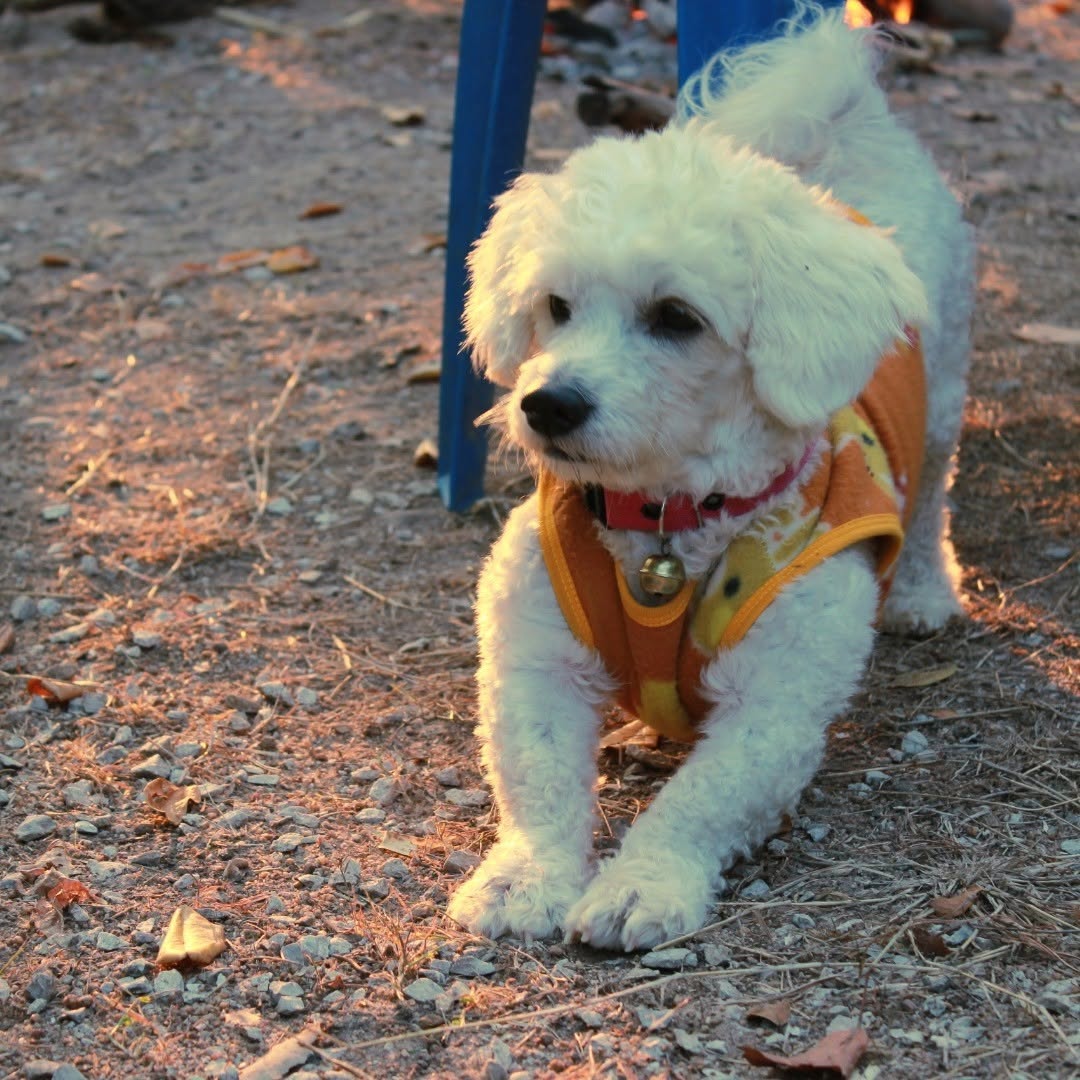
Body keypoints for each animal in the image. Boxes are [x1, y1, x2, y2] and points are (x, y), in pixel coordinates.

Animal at [447, 7, 973, 951]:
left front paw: (640, 884)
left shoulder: (775, 710)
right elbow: (537, 778)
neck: (667, 522)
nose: (547, 404)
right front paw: (524, 877)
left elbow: (698, 802)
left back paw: (922, 592)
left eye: (676, 318)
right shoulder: (531, 660)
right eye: (555, 306)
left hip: (946, 397)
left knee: (930, 502)